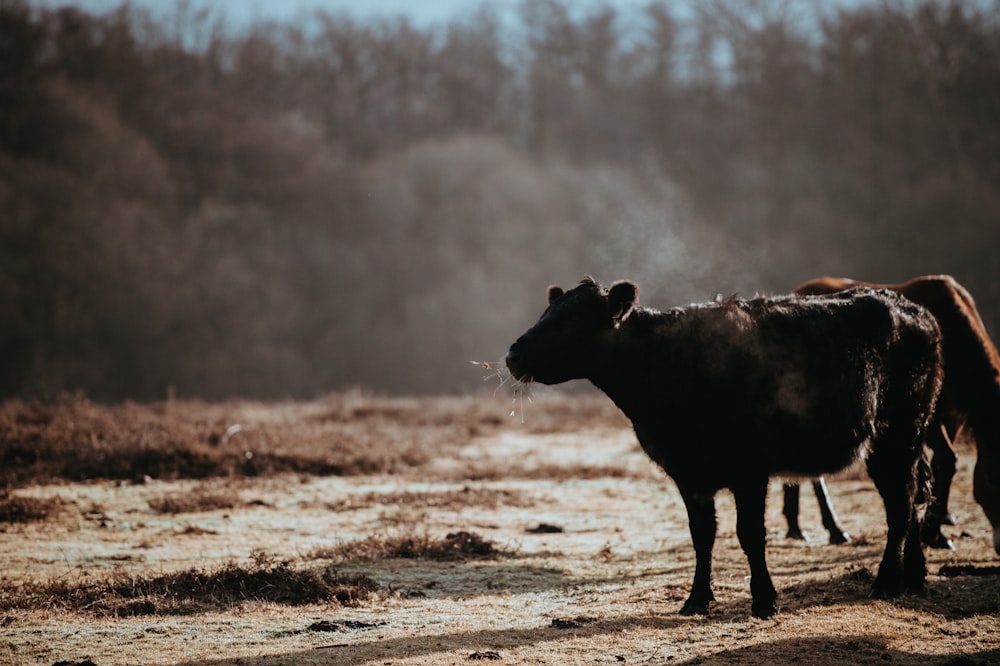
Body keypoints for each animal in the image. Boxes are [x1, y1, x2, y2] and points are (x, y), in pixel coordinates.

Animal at [512, 276, 940, 616]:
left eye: (570, 320)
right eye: (546, 312)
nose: (512, 354)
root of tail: (913, 308)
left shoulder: (750, 470)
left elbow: (750, 533)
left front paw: (764, 601)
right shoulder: (688, 473)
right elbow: (702, 535)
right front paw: (697, 599)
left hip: (898, 433)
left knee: (901, 502)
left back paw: (886, 581)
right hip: (903, 439)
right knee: (918, 493)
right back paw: (914, 576)